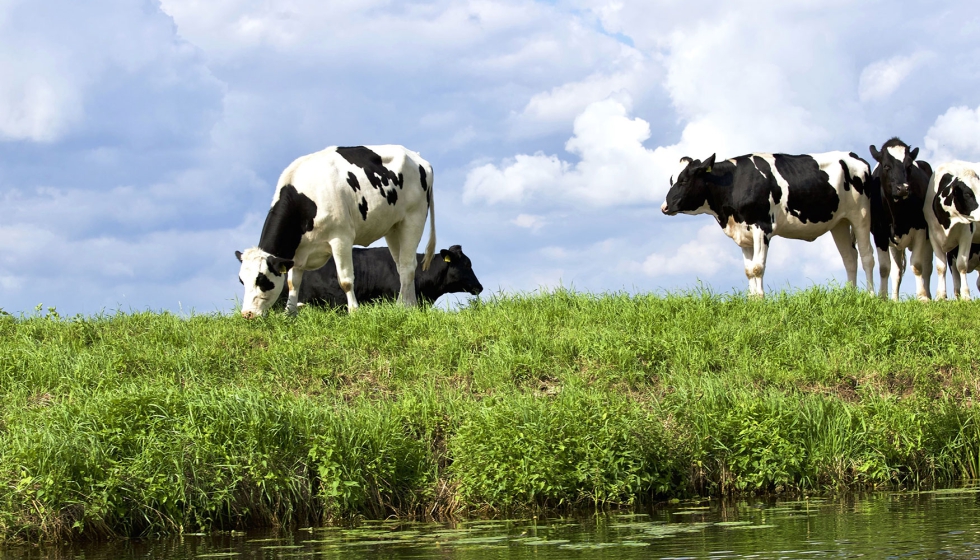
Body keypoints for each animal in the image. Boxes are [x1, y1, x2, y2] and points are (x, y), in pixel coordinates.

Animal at [235, 144, 434, 318]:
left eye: (261, 280)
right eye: (242, 280)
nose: (247, 314)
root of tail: (417, 157)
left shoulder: (341, 238)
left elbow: (345, 280)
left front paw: (354, 312)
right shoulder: (298, 252)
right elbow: (293, 282)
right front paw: (289, 313)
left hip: (413, 218)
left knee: (408, 266)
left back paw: (403, 305)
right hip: (393, 226)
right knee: (401, 265)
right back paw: (410, 306)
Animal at [664, 149, 876, 298]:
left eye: (684, 180)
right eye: (671, 180)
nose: (664, 207)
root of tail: (854, 156)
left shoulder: (761, 226)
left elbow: (758, 267)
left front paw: (760, 299)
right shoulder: (744, 232)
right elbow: (749, 270)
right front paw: (751, 299)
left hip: (861, 215)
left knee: (867, 256)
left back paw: (871, 296)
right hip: (839, 223)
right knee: (849, 258)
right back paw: (850, 296)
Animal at [868, 137, 932, 300]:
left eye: (909, 166)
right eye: (886, 166)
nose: (902, 188)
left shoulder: (921, 229)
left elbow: (917, 265)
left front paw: (922, 297)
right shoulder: (880, 233)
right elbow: (885, 268)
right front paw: (883, 298)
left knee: (928, 268)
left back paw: (930, 295)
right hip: (895, 246)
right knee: (896, 272)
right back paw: (895, 299)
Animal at [924, 160, 980, 300]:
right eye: (968, 194)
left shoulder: (967, 235)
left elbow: (961, 265)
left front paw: (966, 296)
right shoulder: (933, 236)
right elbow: (941, 267)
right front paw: (941, 296)